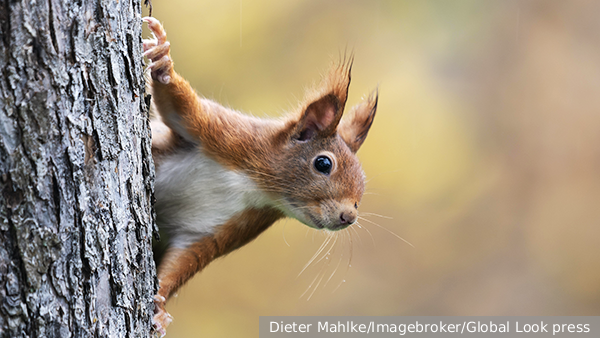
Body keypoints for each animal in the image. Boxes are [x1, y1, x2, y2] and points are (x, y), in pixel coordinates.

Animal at [142, 16, 376, 336]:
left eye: (361, 190)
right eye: (323, 163)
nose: (348, 217)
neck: (256, 186)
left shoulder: (220, 230)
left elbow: (183, 261)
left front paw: (161, 309)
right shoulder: (229, 135)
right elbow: (183, 110)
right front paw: (163, 61)